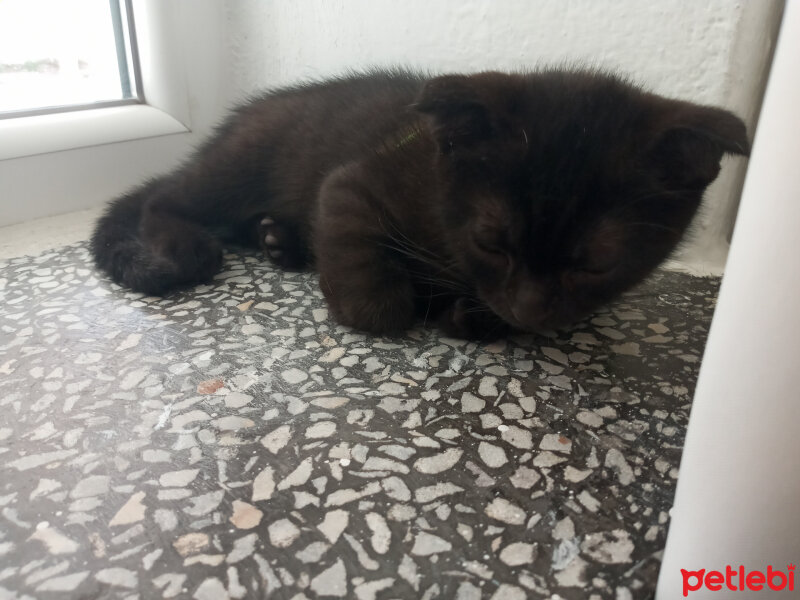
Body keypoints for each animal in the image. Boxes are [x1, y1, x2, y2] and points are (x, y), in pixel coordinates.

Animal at [90, 69, 748, 338]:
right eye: (491, 243)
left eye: (595, 264)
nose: (530, 311)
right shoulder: (353, 182)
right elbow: (363, 259)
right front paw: (383, 307)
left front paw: (475, 317)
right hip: (241, 162)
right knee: (162, 196)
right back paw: (189, 242)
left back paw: (279, 239)